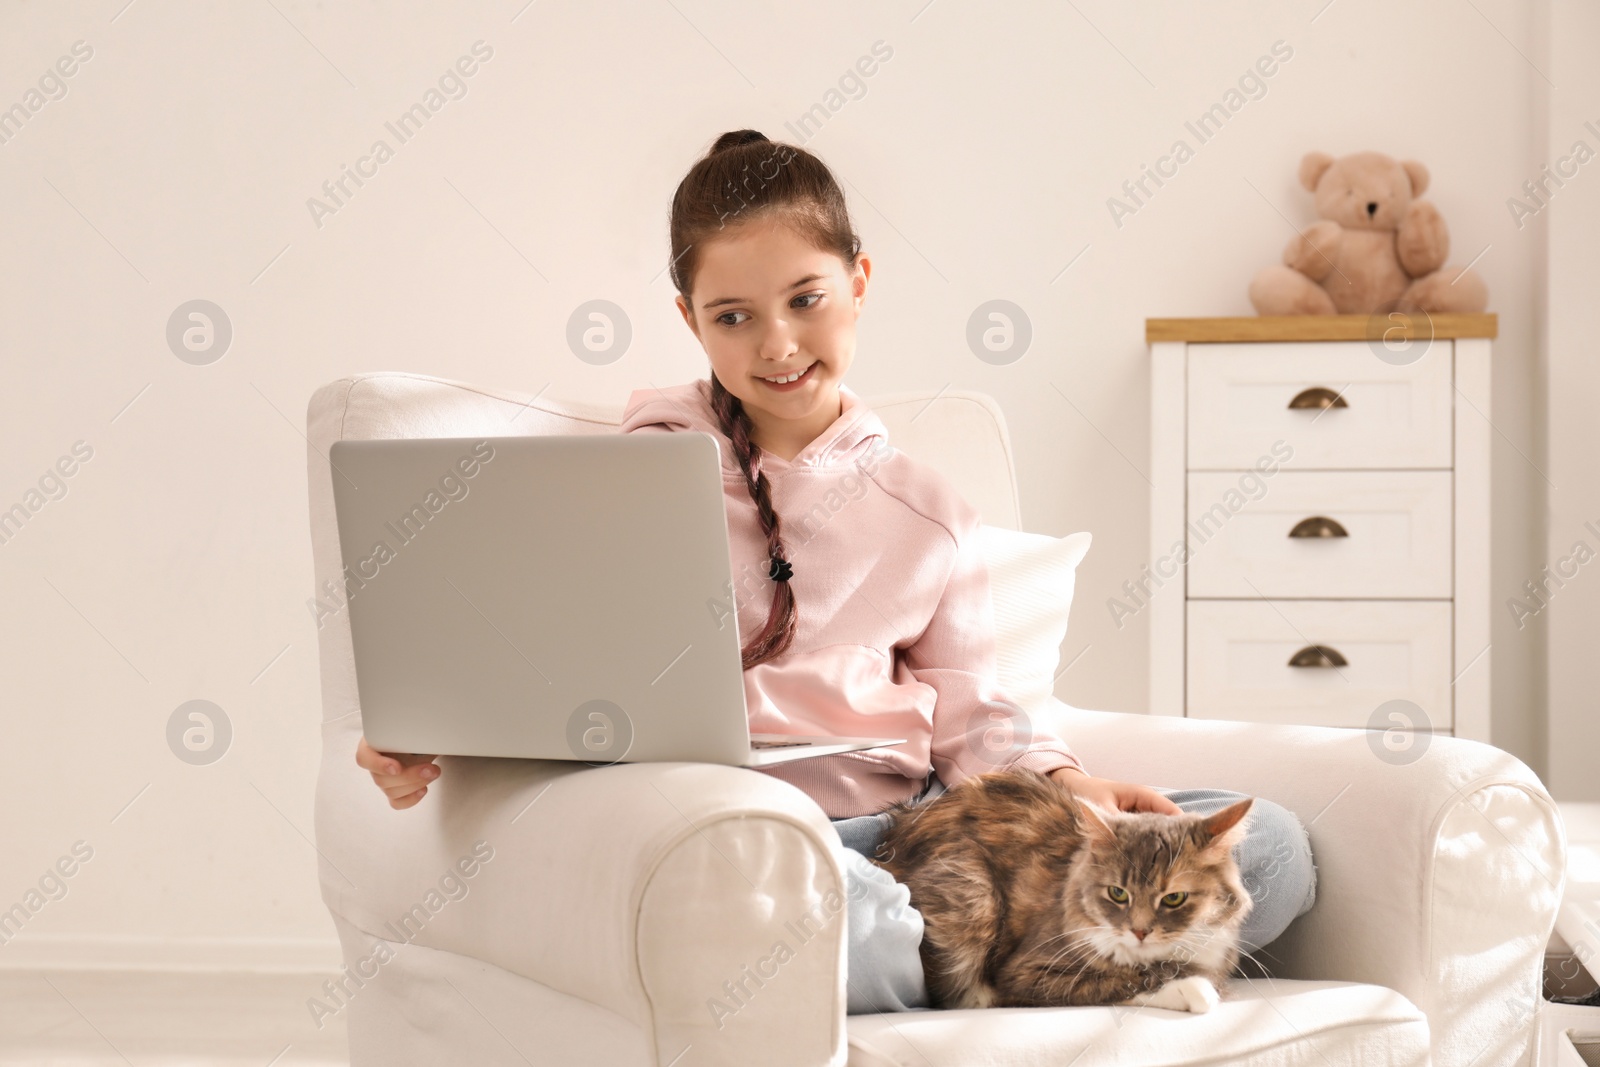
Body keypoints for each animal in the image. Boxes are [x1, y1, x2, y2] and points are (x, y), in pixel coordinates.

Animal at [876, 767, 1248, 1011]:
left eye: (1174, 898)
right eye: (1118, 893)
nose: (1140, 931)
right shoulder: (1025, 972)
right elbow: (1120, 980)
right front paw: (1192, 989)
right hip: (972, 892)